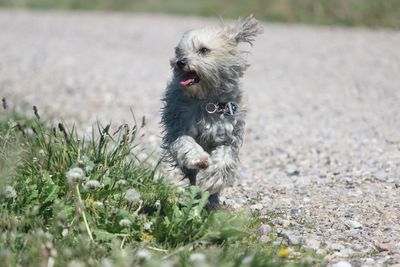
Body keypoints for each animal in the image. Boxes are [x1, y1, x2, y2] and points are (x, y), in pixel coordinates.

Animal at [161, 14, 264, 206]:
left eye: (203, 50)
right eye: (180, 52)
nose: (180, 62)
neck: (206, 100)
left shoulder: (228, 137)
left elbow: (223, 159)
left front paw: (212, 180)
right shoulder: (178, 128)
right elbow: (186, 143)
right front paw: (199, 159)